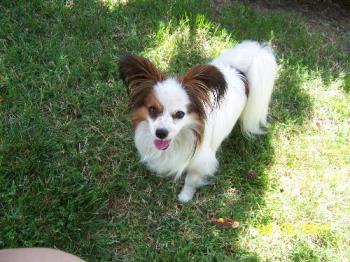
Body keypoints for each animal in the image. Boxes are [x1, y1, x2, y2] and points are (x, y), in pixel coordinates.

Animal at [119, 40, 278, 203]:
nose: (161, 133)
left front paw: (185, 196)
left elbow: (191, 180)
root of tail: (239, 72)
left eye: (180, 114)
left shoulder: (201, 161)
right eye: (152, 110)